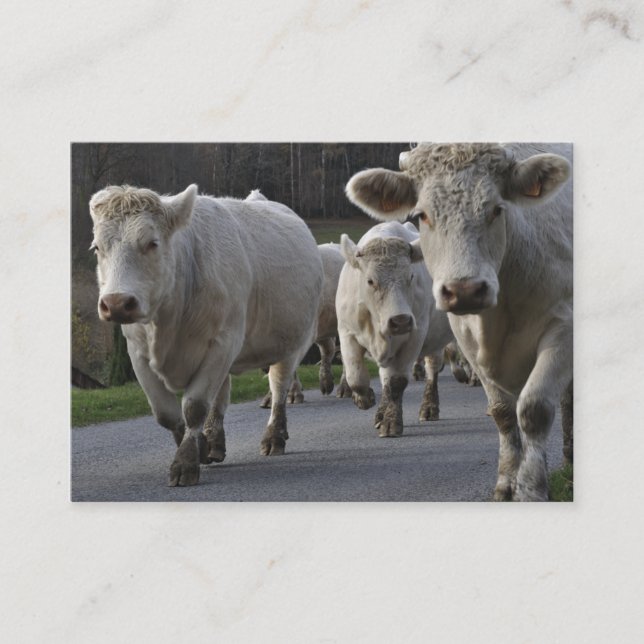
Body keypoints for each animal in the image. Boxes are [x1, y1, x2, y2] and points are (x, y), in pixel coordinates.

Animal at [89, 184, 323, 486]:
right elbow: (166, 413)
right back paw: (214, 441)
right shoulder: (137, 352)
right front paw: (198, 447)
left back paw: (274, 436)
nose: (116, 303)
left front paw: (185, 462)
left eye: (152, 243)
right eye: (97, 247)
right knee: (222, 395)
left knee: (279, 387)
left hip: (293, 342)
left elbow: (195, 406)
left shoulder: (223, 342)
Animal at [336, 221, 454, 437]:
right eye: (370, 281)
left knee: (432, 370)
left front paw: (391, 422)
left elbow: (396, 381)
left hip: (435, 342)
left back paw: (429, 407)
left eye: (411, 276)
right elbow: (355, 376)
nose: (400, 321)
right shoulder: (346, 333)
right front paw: (364, 399)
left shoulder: (415, 336)